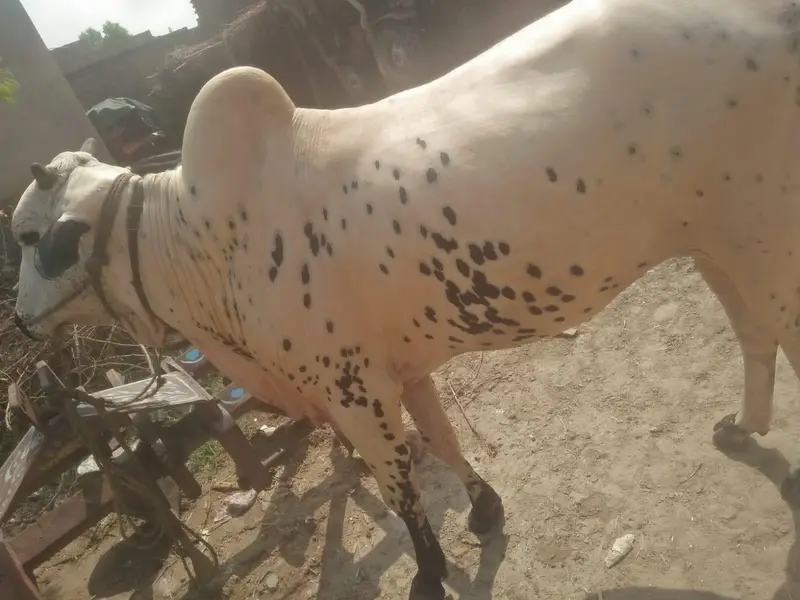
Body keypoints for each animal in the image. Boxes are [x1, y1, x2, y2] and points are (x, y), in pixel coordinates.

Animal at [11, 0, 800, 597]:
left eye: (29, 237)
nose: (19, 322)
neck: (200, 236)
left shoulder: (353, 391)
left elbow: (401, 488)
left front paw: (427, 570)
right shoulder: (405, 369)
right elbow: (444, 443)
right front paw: (484, 507)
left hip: (767, 237)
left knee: (776, 331)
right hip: (713, 243)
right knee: (753, 333)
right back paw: (742, 426)